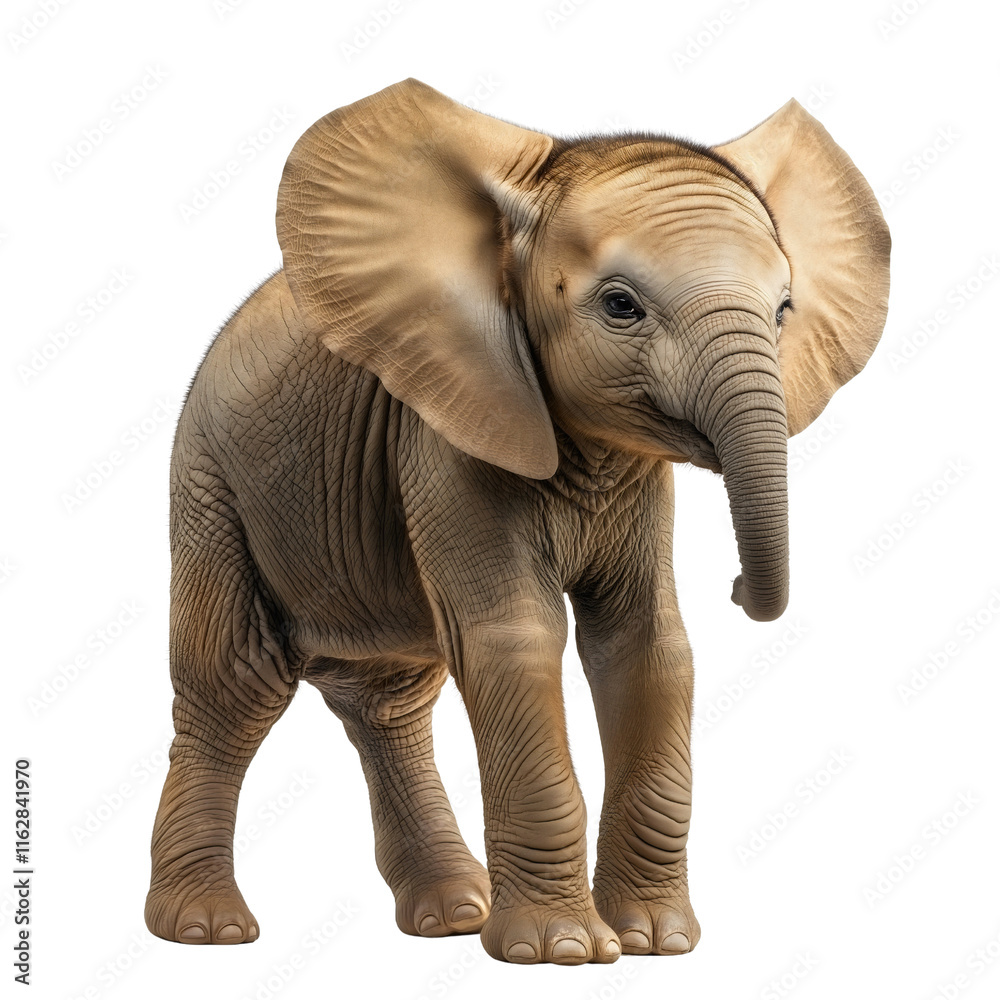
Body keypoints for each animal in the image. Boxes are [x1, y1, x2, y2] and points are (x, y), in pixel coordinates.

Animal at [144, 78, 889, 965]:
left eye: (783, 310)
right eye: (620, 306)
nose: (741, 587)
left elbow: (649, 646)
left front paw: (655, 943)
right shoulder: (443, 432)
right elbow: (515, 638)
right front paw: (560, 951)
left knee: (389, 700)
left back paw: (451, 916)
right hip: (208, 483)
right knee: (236, 684)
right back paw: (206, 930)